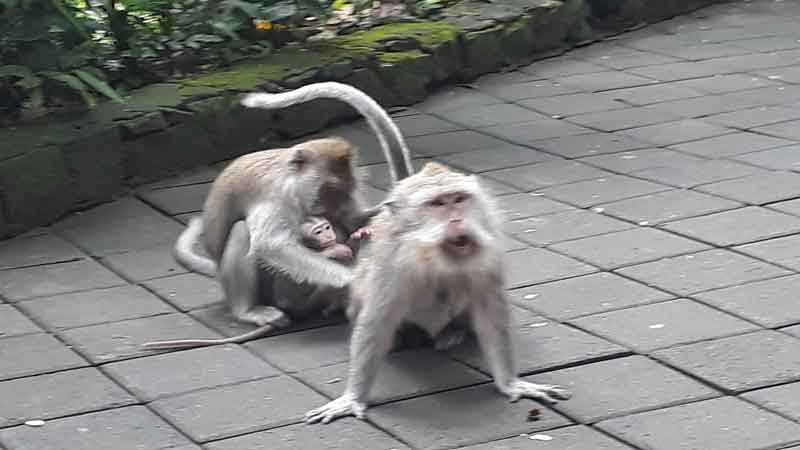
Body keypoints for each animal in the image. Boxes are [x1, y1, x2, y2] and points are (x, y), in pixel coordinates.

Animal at [303, 162, 572, 425]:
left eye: (459, 199)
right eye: (437, 204)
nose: (457, 220)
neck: (432, 254)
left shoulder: (489, 249)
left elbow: (490, 313)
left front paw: (510, 383)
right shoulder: (392, 259)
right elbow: (377, 321)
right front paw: (353, 397)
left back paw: (452, 332)